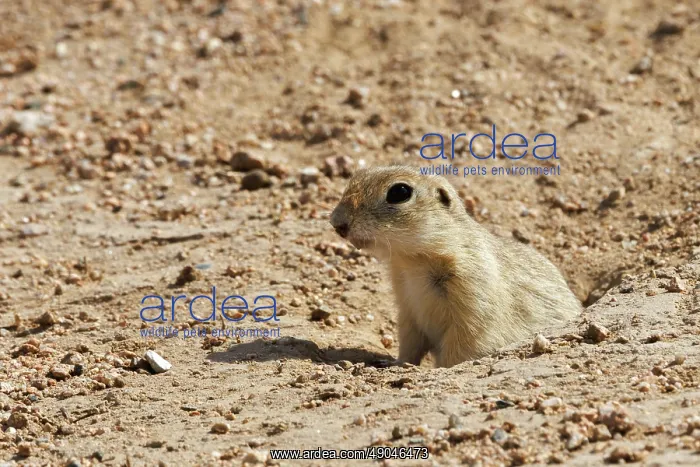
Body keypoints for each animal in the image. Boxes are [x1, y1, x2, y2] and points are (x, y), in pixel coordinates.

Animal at [330, 166, 581, 368]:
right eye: (357, 175)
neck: (413, 260)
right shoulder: (407, 306)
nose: (336, 223)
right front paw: (393, 363)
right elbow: (409, 343)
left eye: (399, 192)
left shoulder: (474, 296)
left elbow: (463, 346)